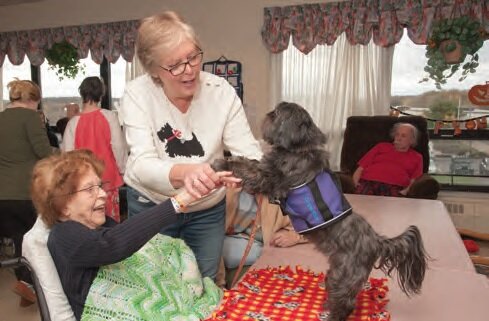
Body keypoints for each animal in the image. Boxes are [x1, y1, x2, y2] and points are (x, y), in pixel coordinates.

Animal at [212, 101, 426, 320]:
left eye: (277, 114)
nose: (269, 113)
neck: (299, 149)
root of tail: (376, 241)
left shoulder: (268, 179)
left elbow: (249, 169)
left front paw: (222, 162)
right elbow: (250, 162)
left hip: (344, 277)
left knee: (345, 303)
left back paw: (332, 314)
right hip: (335, 274)